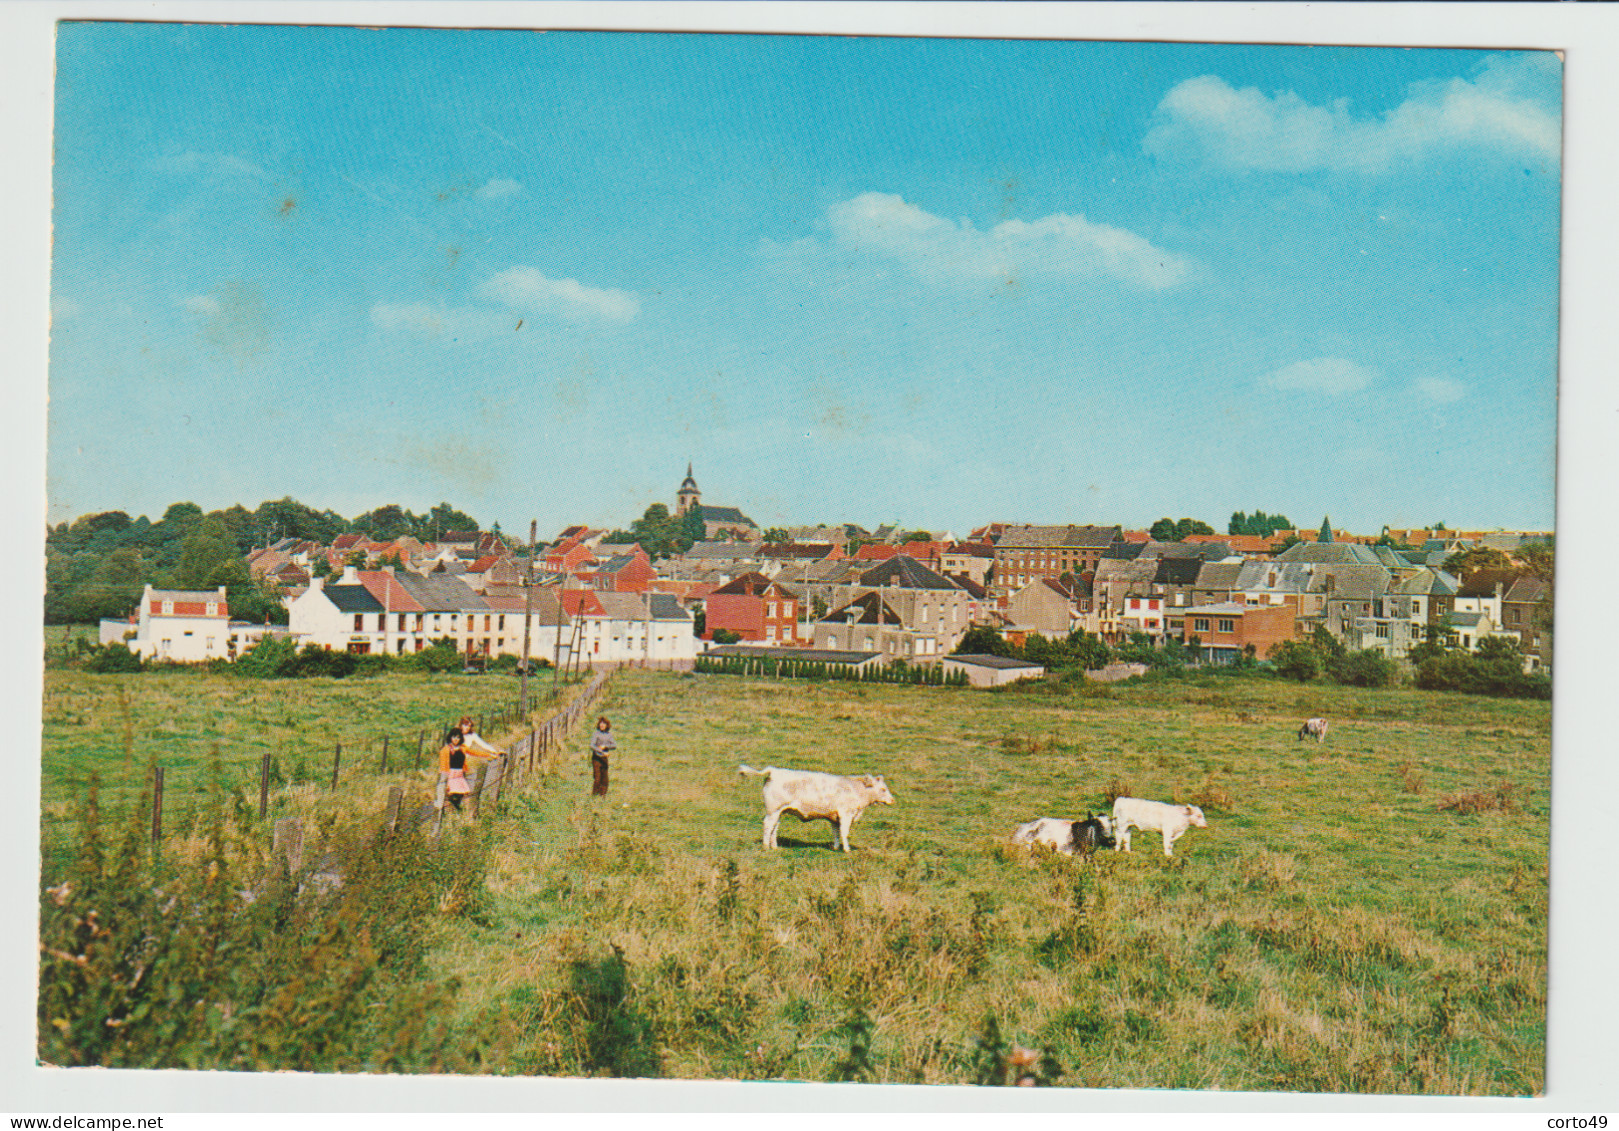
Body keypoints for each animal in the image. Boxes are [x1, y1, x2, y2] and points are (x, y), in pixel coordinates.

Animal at [738, 766, 893, 854]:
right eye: (883, 789)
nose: (893, 800)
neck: (854, 789)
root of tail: (774, 771)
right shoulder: (846, 814)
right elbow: (844, 832)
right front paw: (847, 849)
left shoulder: (834, 817)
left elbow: (836, 833)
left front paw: (836, 847)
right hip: (773, 810)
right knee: (767, 825)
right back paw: (766, 846)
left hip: (778, 812)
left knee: (774, 828)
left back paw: (774, 847)